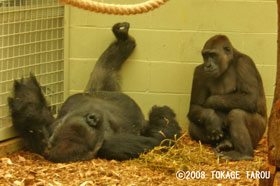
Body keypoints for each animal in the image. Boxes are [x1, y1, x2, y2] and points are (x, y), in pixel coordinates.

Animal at [8, 22, 182, 163]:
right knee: (106, 69)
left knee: (106, 67)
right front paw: (161, 116)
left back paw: (123, 40)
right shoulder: (109, 143)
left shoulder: (46, 130)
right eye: (91, 125)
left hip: (97, 91)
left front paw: (26, 96)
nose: (94, 118)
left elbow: (30, 117)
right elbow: (157, 140)